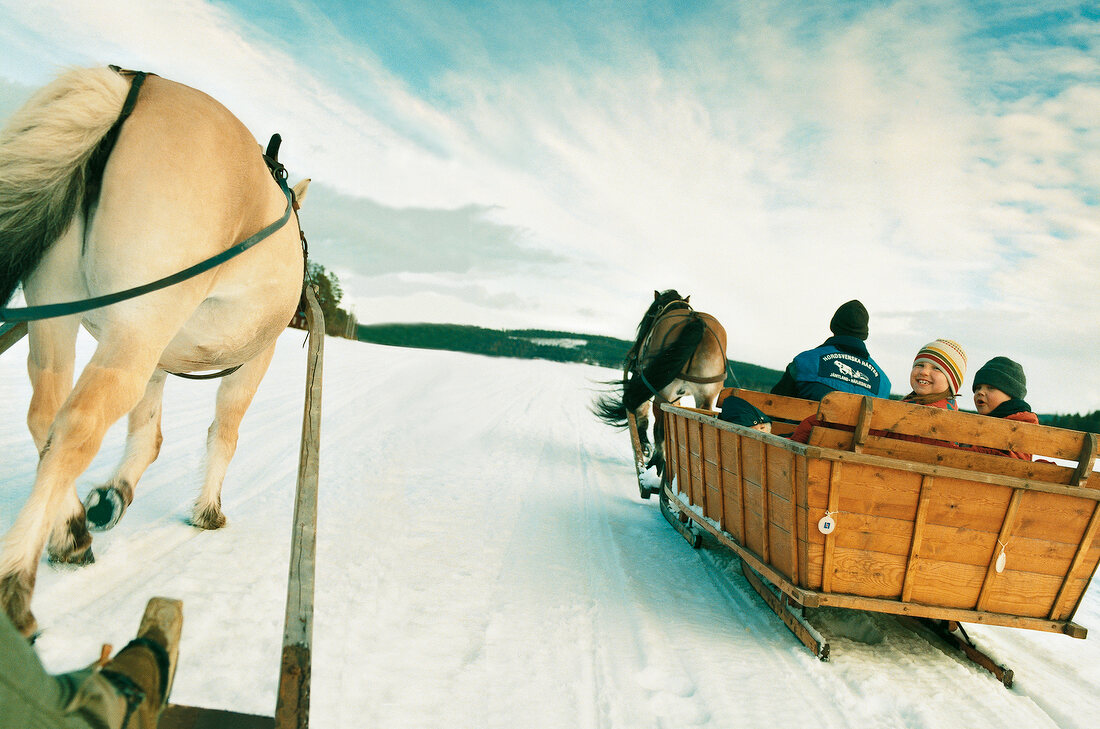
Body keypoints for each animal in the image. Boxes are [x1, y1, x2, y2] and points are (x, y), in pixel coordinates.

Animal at [0, 69, 308, 637]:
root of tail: (133, 86)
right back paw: (18, 578)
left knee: (44, 412)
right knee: (77, 424)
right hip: (138, 325)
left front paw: (112, 496)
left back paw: (70, 530)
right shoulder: (255, 359)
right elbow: (225, 433)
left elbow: (148, 433)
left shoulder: (160, 358)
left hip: (58, 309)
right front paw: (207, 510)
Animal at [598, 290, 726, 479]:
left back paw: (656, 463)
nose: (633, 354)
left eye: (650, 315)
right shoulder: (677, 397)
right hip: (705, 396)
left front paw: (644, 445)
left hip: (662, 393)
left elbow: (642, 416)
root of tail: (696, 320)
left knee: (660, 428)